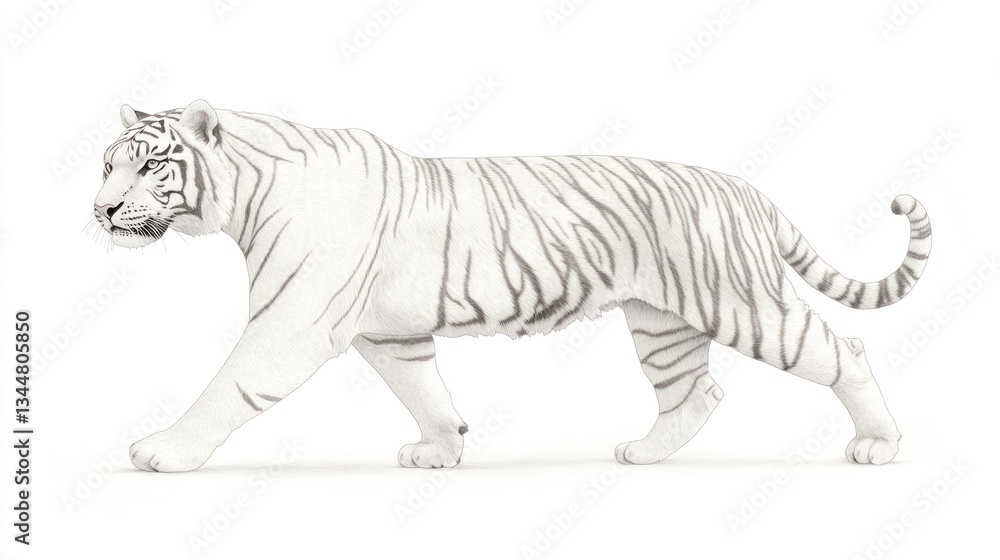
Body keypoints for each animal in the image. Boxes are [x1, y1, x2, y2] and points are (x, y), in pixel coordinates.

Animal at [93, 99, 931, 472]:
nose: (99, 208)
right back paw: (644, 454)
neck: (239, 199)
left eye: (150, 164)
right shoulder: (390, 330)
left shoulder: (293, 321)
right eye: (107, 162)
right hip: (661, 321)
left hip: (742, 304)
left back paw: (879, 444)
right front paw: (440, 449)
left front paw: (163, 451)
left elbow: (229, 383)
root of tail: (745, 188)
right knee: (698, 392)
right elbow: (422, 387)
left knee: (845, 351)